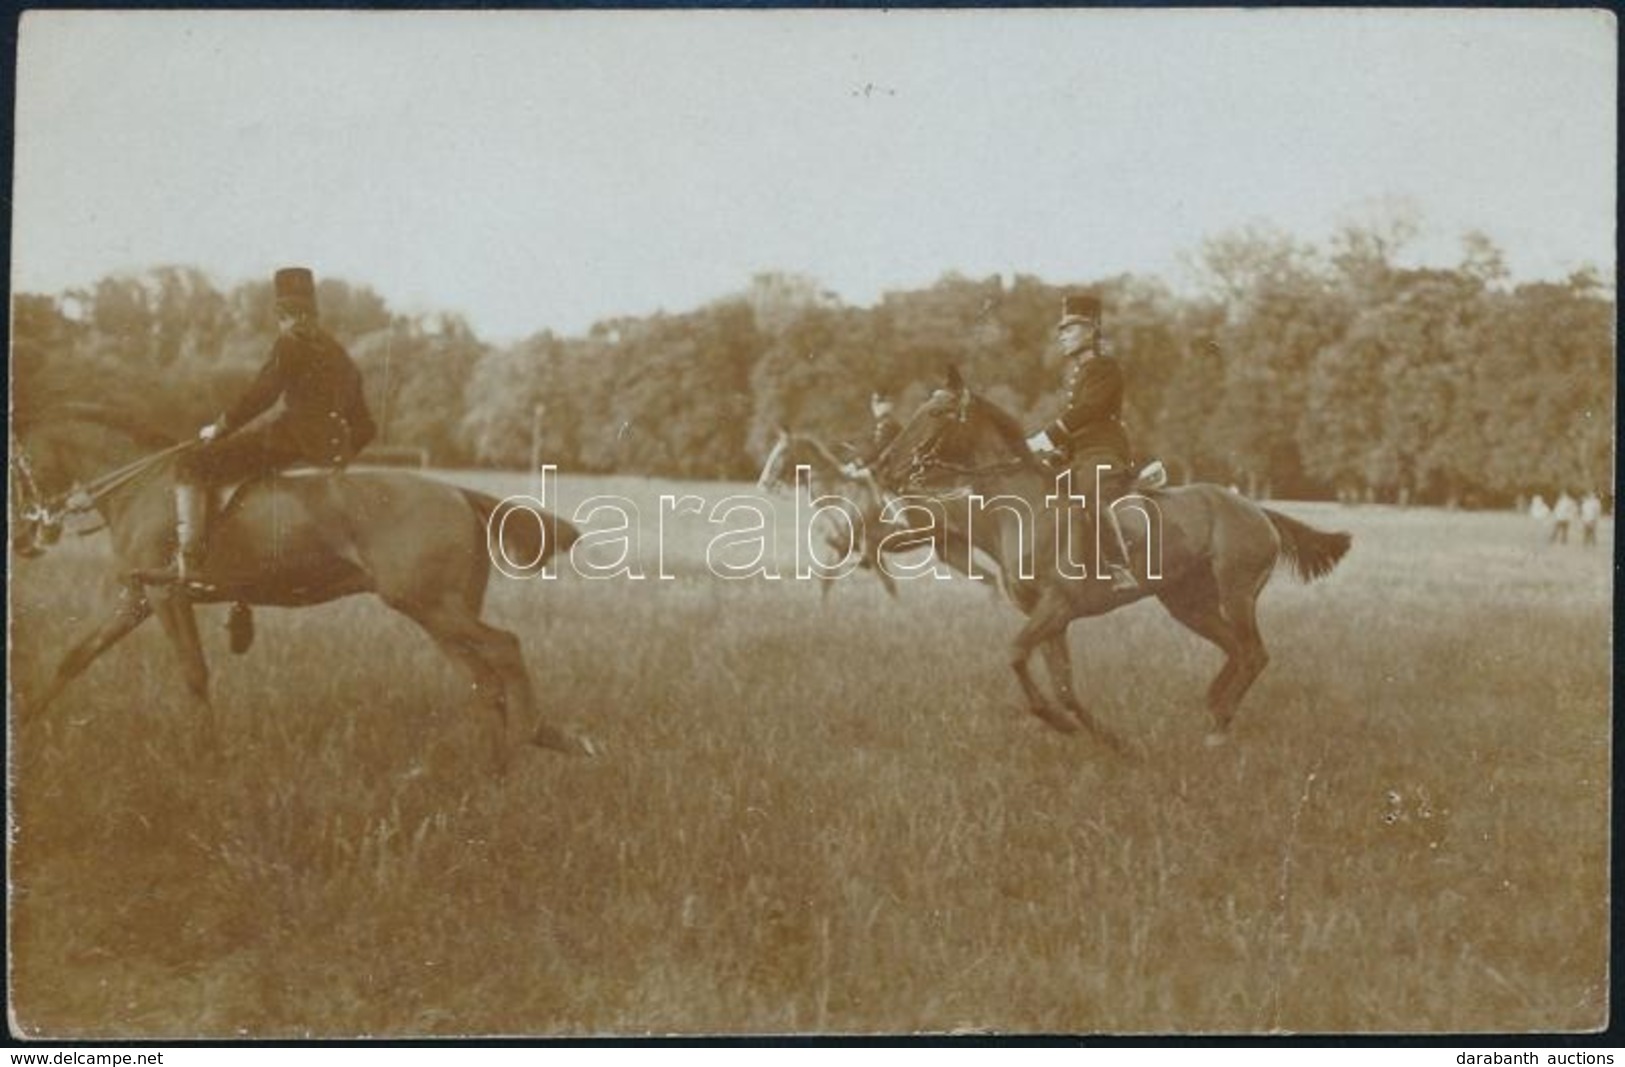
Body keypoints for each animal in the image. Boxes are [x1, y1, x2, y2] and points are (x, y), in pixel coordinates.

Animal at [9, 407, 594, 756]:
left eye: (14, 468)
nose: (23, 538)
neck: (145, 485)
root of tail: (455, 492)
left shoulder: (164, 593)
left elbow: (194, 673)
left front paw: (210, 756)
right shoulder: (136, 597)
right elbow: (75, 657)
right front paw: (22, 722)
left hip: (431, 607)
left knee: (505, 649)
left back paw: (538, 735)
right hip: (437, 615)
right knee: (484, 681)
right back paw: (500, 769)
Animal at [754, 422, 994, 597]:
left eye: (782, 452)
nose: (764, 483)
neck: (841, 494)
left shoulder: (870, 550)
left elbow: (886, 584)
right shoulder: (839, 549)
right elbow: (826, 585)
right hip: (953, 552)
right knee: (991, 580)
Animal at [871, 375, 1352, 750]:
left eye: (936, 413)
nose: (883, 467)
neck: (1021, 512)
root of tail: (1255, 509)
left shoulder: (1057, 607)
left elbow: (1015, 654)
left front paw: (1059, 722)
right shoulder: (1048, 618)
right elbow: (1063, 685)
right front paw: (1109, 739)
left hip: (1236, 594)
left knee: (1254, 653)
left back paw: (1217, 726)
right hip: (1187, 604)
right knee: (1236, 651)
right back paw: (1215, 709)